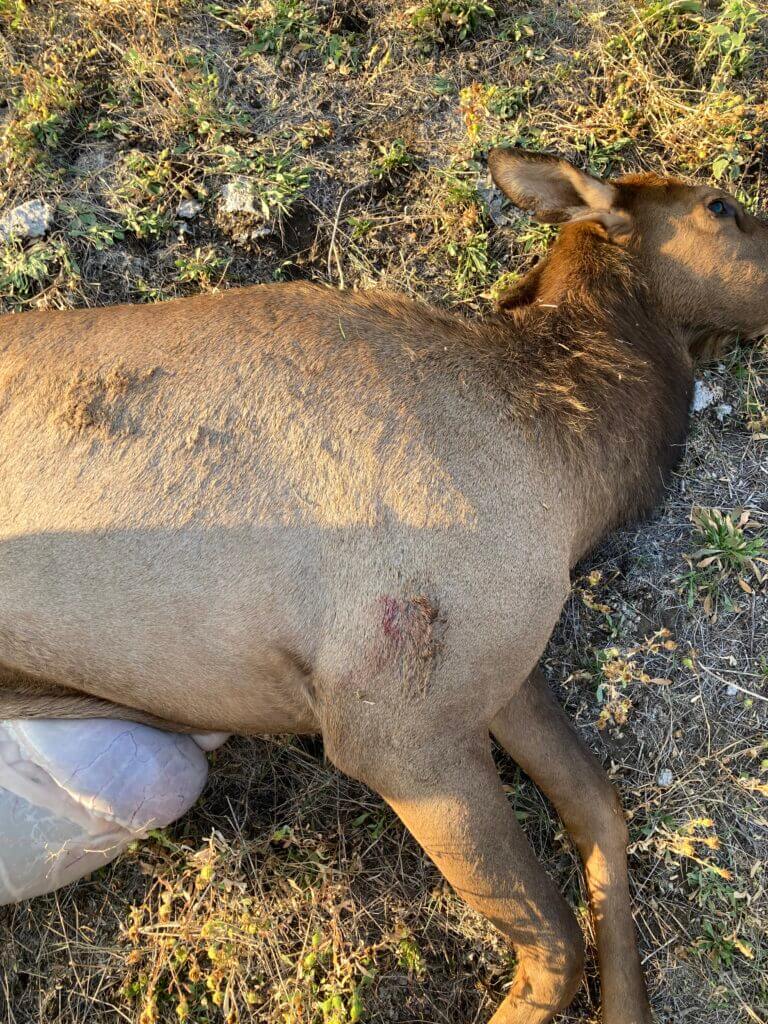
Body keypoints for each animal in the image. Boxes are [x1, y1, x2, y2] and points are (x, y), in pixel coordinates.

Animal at [0, 146, 766, 1023]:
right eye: (721, 206)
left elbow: (600, 812)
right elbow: (554, 946)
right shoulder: (395, 723)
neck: (573, 472)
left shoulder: (499, 668)